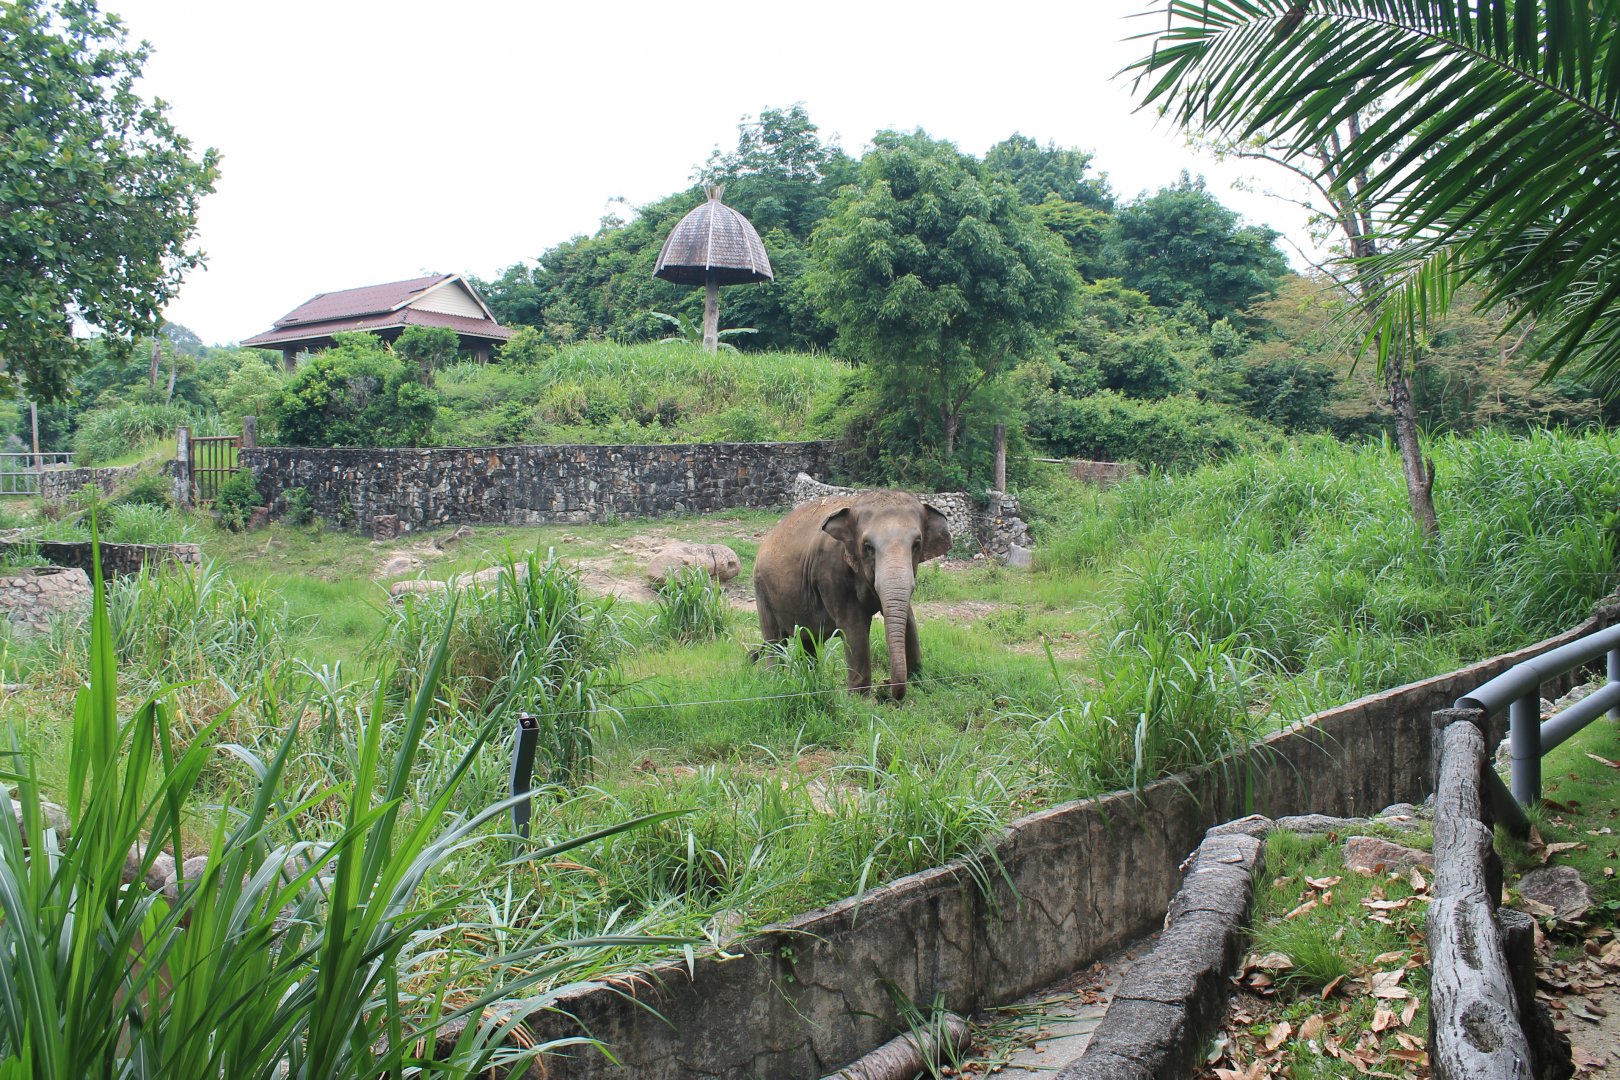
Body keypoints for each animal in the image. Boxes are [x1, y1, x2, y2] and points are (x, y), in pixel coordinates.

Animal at [753, 490, 952, 701]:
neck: (856, 502)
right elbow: (854, 626)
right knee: (775, 640)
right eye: (868, 546)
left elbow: (909, 621)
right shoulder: (830, 570)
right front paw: (859, 699)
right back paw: (774, 681)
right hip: (761, 590)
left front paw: (920, 683)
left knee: (808, 640)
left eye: (916, 544)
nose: (887, 686)